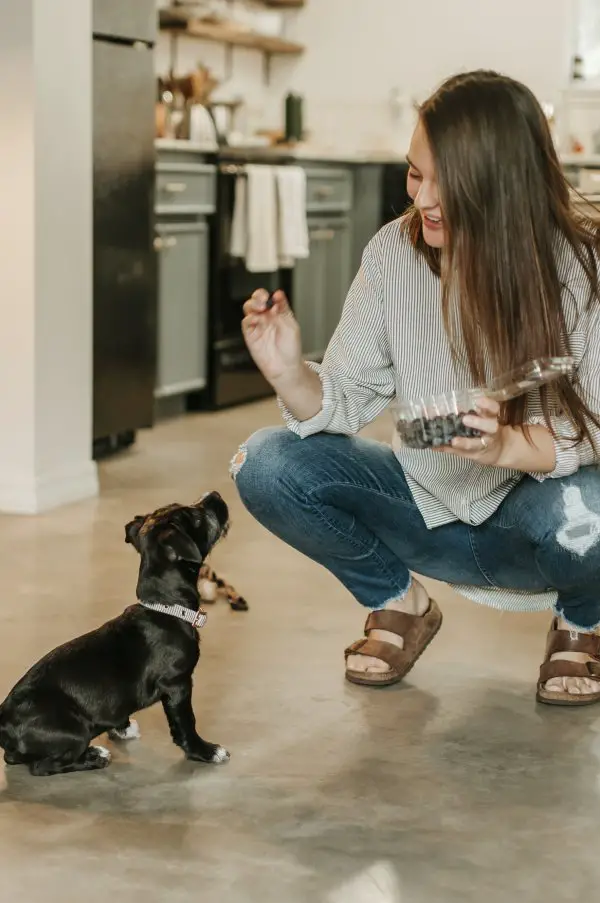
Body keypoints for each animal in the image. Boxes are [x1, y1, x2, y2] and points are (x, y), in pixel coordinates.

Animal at [0, 494, 232, 776]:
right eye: (197, 517)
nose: (215, 495)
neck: (165, 606)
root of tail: (3, 725)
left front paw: (121, 727)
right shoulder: (178, 684)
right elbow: (186, 723)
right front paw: (206, 751)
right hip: (74, 730)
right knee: (44, 766)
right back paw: (95, 756)